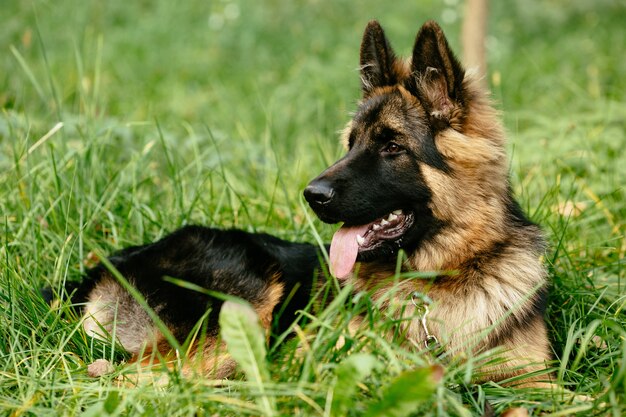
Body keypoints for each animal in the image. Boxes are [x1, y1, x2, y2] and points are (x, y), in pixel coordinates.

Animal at [66, 19, 548, 384]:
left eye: (392, 147)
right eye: (351, 144)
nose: (312, 195)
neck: (436, 280)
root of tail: (106, 266)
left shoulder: (532, 380)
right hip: (244, 304)